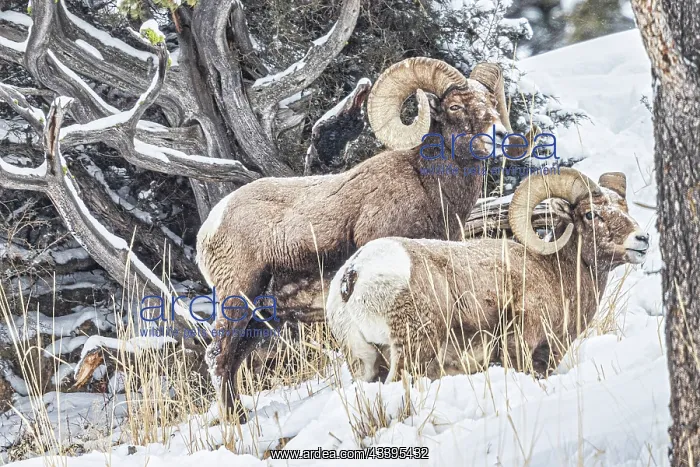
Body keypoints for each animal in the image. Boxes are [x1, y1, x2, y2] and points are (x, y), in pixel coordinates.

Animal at [196, 57, 514, 414]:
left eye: (492, 103)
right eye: (455, 106)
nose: (500, 136)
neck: (428, 187)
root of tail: (211, 226)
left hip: (264, 318)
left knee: (233, 359)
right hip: (238, 297)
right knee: (219, 356)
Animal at [325, 168, 650, 383]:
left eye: (626, 209)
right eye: (590, 214)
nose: (642, 239)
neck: (554, 272)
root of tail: (353, 277)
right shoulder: (523, 345)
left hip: (364, 361)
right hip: (412, 352)